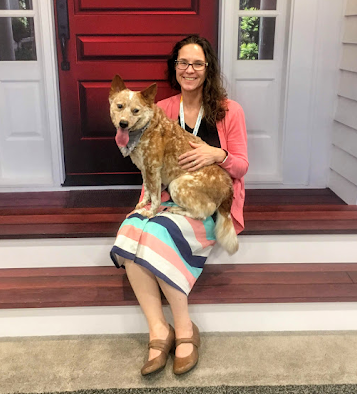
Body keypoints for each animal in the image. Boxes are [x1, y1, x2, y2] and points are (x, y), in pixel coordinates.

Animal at [107, 75, 238, 254]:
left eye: (136, 110)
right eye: (119, 106)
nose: (123, 123)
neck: (147, 127)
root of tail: (228, 189)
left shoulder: (153, 168)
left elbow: (155, 197)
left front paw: (150, 212)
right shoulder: (145, 169)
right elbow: (147, 189)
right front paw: (143, 203)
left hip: (177, 184)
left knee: (205, 211)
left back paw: (177, 209)